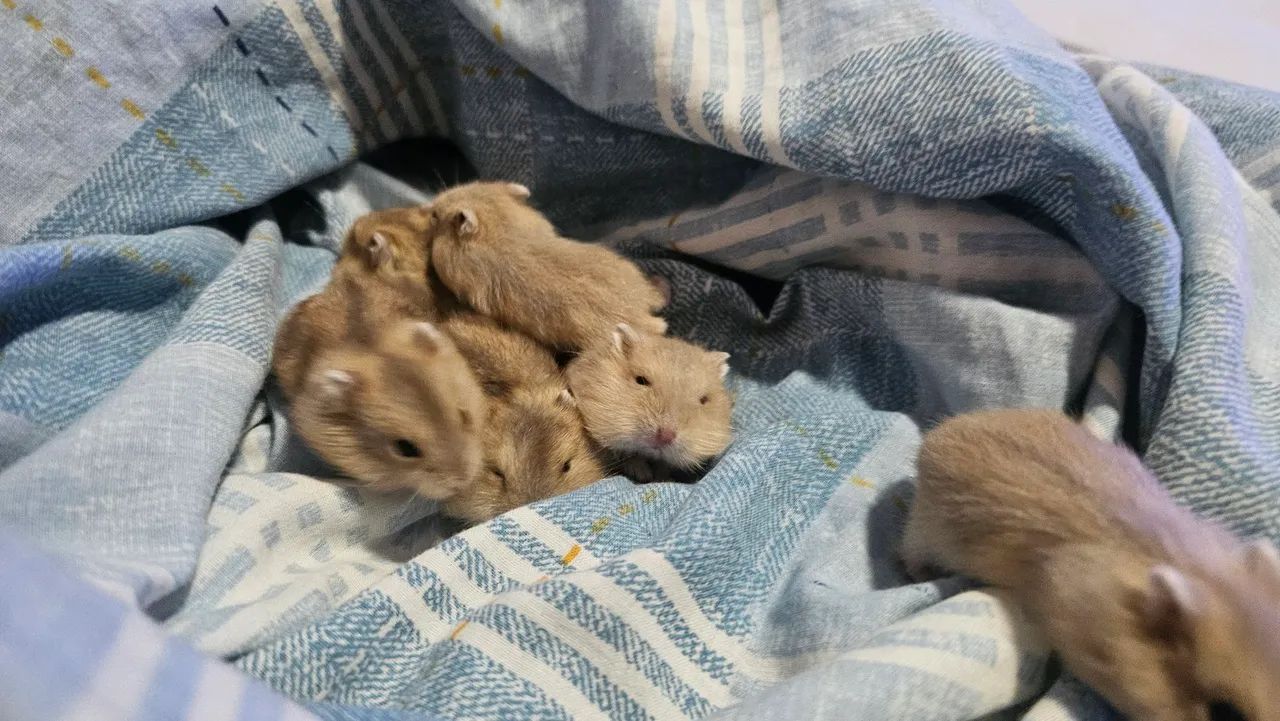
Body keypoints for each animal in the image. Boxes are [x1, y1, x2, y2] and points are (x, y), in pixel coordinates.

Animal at [564, 323, 732, 479]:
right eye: (641, 380)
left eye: (704, 400)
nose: (665, 437)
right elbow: (630, 457)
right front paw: (643, 475)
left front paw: (659, 477)